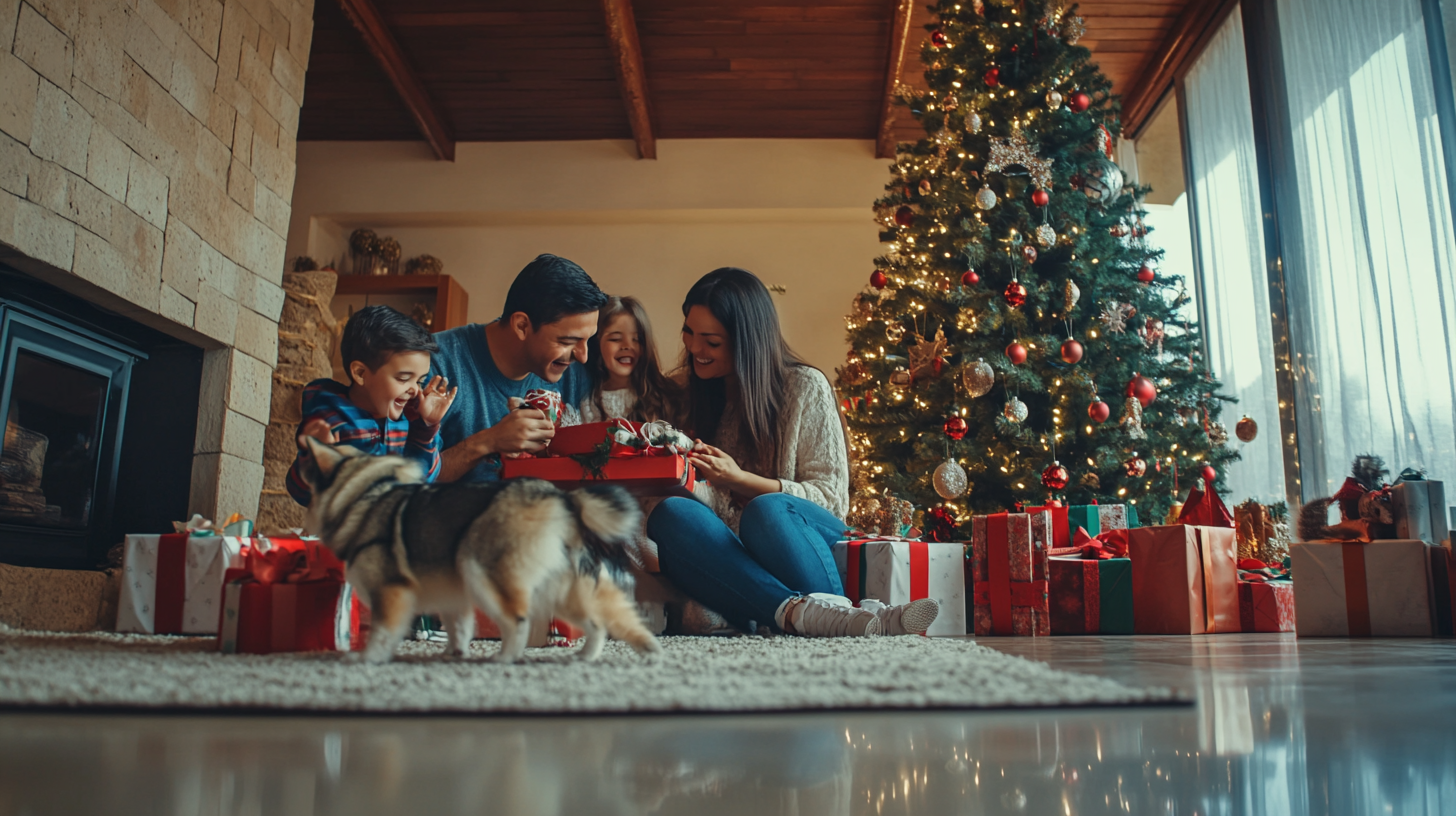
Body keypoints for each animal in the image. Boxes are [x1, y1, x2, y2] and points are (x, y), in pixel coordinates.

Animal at [295, 440, 661, 664]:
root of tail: (562, 498)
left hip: (483, 571)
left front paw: (367, 658)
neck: (363, 498)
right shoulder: (452, 599)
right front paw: (452, 654)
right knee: (599, 623)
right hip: (560, 589)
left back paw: (504, 658)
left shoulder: (391, 592)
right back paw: (590, 657)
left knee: (518, 622)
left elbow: (383, 633)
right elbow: (459, 630)